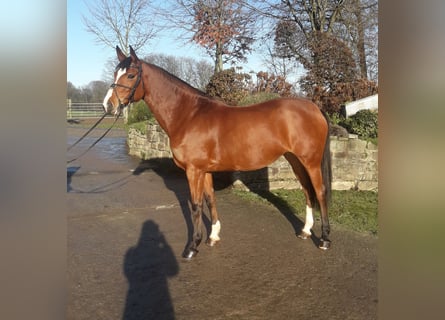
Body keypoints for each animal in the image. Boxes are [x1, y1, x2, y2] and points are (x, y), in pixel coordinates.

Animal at [104, 46, 332, 258]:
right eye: (115, 73)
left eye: (131, 75)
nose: (108, 105)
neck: (188, 115)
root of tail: (315, 108)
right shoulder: (204, 171)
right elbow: (210, 200)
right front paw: (213, 236)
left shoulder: (193, 171)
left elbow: (196, 206)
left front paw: (192, 247)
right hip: (295, 160)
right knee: (307, 190)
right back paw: (305, 231)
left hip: (311, 162)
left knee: (320, 192)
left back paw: (324, 239)